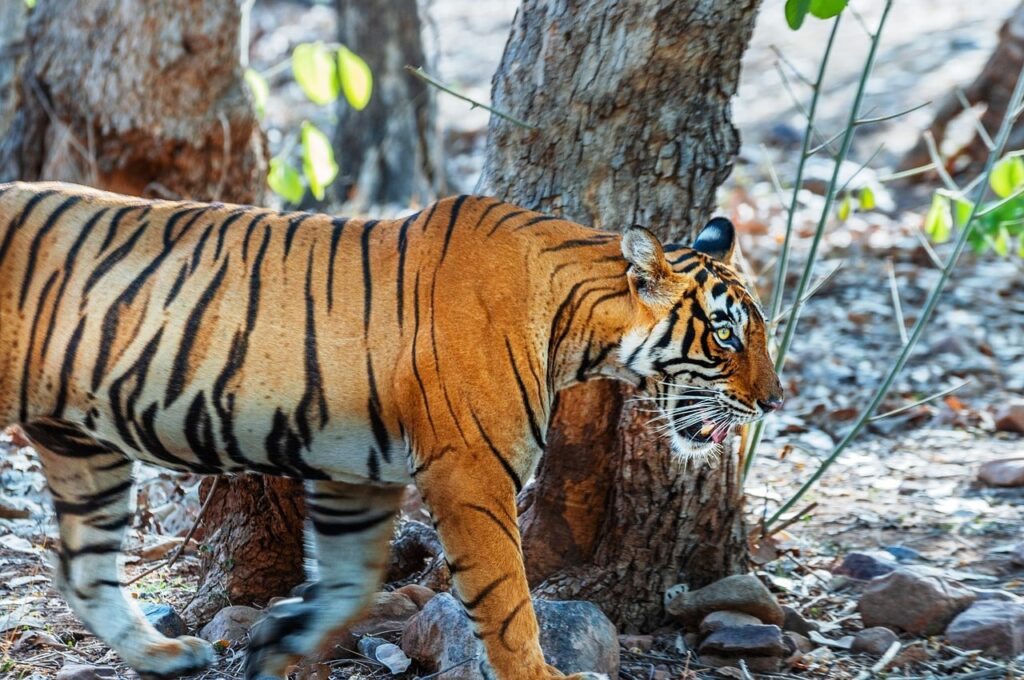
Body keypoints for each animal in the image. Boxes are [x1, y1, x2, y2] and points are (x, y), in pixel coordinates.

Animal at [0, 182, 782, 680]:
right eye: (725, 334)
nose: (773, 401)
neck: (577, 326)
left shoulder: (356, 473)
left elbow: (349, 584)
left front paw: (276, 642)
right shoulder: (471, 473)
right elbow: (507, 600)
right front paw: (540, 676)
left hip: (83, 448)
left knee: (82, 567)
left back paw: (164, 656)